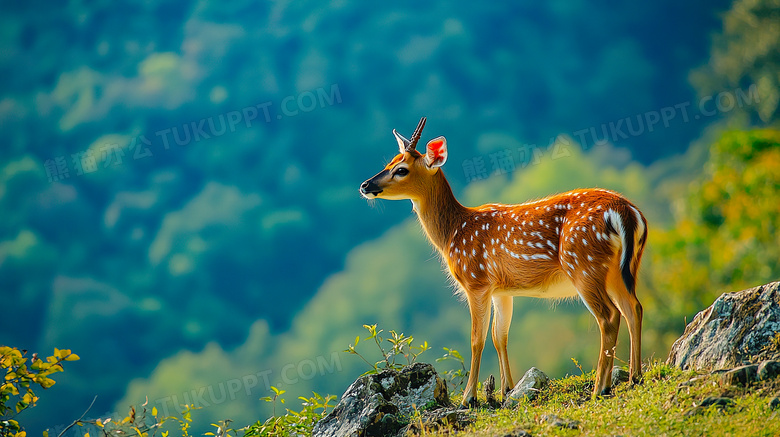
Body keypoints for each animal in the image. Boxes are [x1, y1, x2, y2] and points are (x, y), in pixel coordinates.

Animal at [358, 116, 644, 406]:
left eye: (401, 169)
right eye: (388, 163)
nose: (365, 186)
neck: (453, 234)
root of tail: (626, 212)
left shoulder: (476, 281)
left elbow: (477, 338)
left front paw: (469, 398)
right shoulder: (502, 290)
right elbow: (500, 336)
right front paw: (507, 389)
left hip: (583, 264)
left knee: (609, 316)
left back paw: (601, 387)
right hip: (622, 269)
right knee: (634, 307)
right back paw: (635, 376)